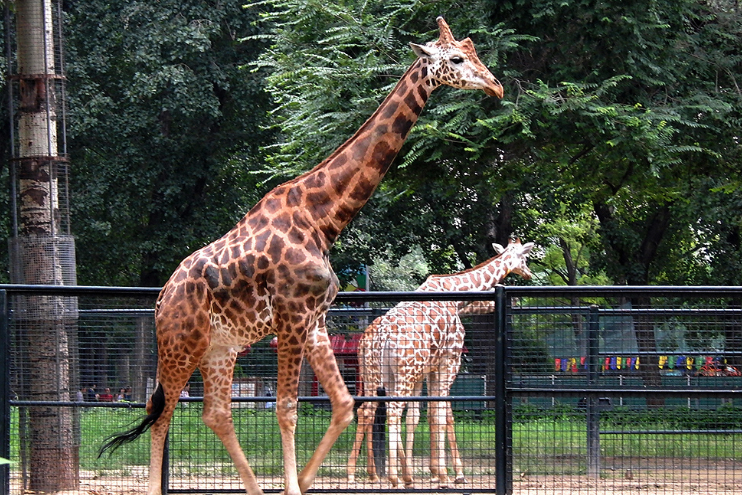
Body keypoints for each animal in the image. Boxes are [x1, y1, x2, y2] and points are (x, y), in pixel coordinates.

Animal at [100, 16, 506, 495]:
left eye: (475, 52)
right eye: (457, 59)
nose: (496, 86)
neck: (322, 218)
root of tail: (162, 298)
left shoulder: (314, 321)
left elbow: (344, 403)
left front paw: (308, 480)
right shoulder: (291, 317)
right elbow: (287, 408)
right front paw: (294, 484)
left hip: (221, 348)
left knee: (215, 413)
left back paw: (255, 488)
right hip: (182, 343)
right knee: (161, 413)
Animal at [348, 239, 536, 488]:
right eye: (524, 258)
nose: (529, 273)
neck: (456, 295)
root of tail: (380, 336)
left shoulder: (430, 369)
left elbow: (423, 415)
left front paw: (435, 472)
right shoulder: (449, 360)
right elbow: (442, 414)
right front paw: (449, 474)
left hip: (387, 375)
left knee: (377, 409)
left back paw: (393, 475)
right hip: (401, 373)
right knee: (390, 410)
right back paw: (388, 475)